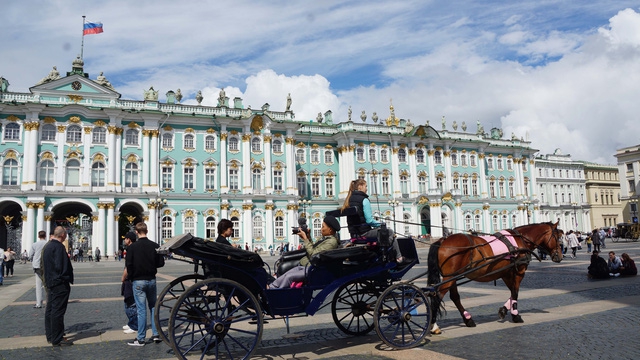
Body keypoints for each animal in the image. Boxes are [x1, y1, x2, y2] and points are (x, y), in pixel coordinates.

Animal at [428, 222, 564, 334]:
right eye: (558, 237)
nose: (560, 256)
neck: (520, 240)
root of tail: (443, 240)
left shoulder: (506, 273)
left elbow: (512, 292)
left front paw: (504, 310)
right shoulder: (519, 271)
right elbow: (515, 293)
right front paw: (516, 315)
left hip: (452, 277)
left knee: (455, 297)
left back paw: (468, 320)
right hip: (450, 277)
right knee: (437, 296)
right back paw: (434, 326)